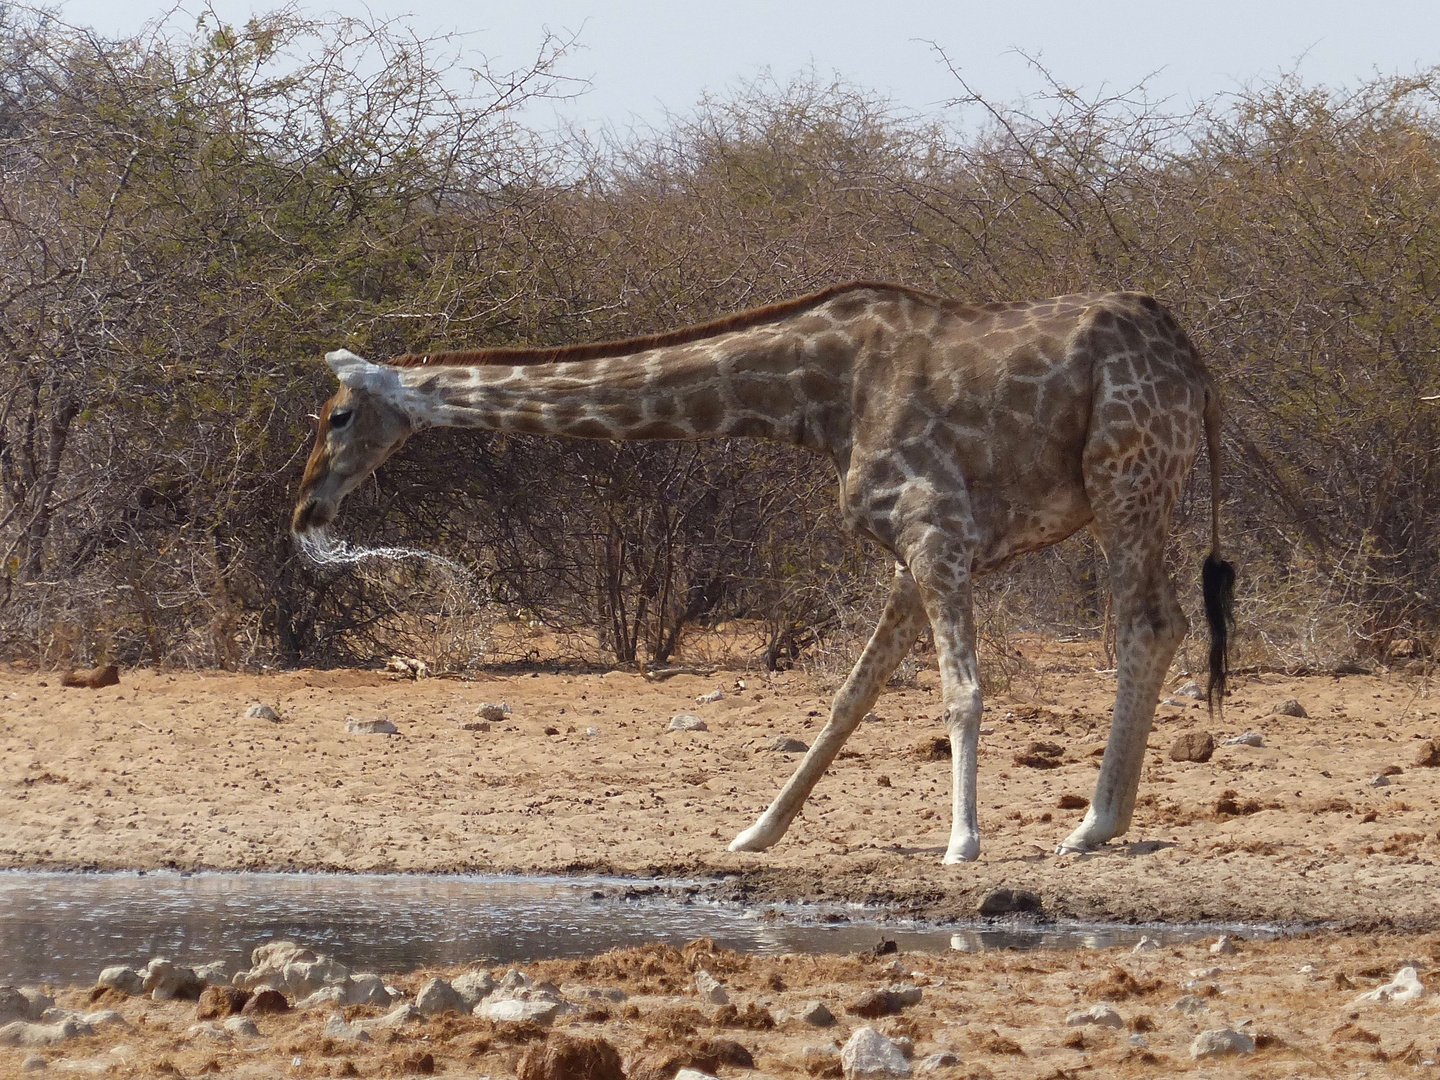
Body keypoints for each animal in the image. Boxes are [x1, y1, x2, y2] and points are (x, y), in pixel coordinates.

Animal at [295, 283, 1238, 869]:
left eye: (336, 416)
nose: (307, 509)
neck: (818, 396)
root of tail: (1198, 365)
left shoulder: (935, 526)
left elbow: (961, 691)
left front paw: (962, 842)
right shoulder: (916, 549)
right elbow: (850, 695)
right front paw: (757, 831)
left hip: (1126, 476)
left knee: (1150, 625)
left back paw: (1091, 825)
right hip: (1140, 486)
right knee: (1163, 625)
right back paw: (1102, 822)